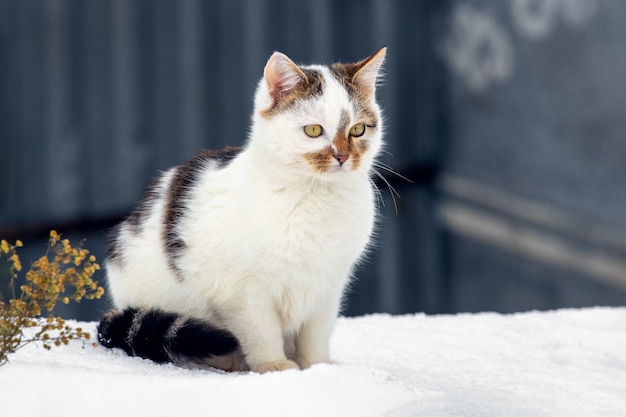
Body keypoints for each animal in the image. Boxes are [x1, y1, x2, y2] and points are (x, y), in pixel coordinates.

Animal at [97, 47, 386, 372]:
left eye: (358, 130)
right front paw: (275, 366)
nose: (343, 156)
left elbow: (316, 334)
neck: (315, 197)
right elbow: (261, 332)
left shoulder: (327, 287)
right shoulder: (244, 293)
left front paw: (318, 367)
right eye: (313, 131)